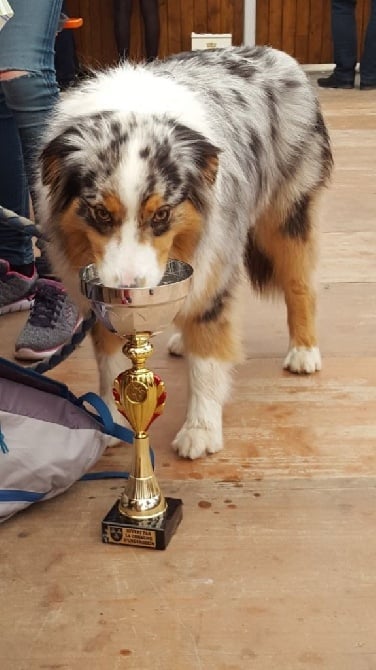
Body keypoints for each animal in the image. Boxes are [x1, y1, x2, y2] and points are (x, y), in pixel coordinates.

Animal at [36, 46, 334, 462]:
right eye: (100, 214)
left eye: (162, 214)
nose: (128, 292)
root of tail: (279, 55)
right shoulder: (99, 300)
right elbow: (110, 362)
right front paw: (110, 418)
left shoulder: (214, 266)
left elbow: (207, 362)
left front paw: (201, 429)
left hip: (286, 216)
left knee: (299, 284)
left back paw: (304, 351)